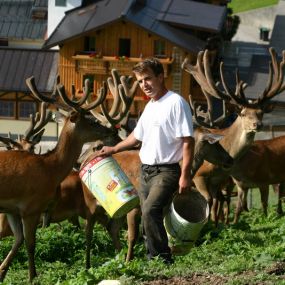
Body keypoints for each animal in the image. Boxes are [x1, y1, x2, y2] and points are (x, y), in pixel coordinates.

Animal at [181, 47, 284, 226]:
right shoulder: (200, 177)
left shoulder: (221, 181)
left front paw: (217, 225)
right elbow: (211, 202)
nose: (257, 125)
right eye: (243, 113)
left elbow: (218, 202)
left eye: (261, 112)